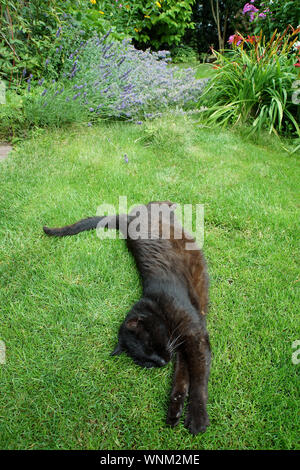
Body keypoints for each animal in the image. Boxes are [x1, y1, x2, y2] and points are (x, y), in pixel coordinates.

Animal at [42, 200, 211, 436]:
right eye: (144, 361)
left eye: (152, 345)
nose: (161, 362)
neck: (157, 305)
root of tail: (127, 221)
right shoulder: (181, 346)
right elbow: (181, 376)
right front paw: (174, 411)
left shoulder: (195, 336)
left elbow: (198, 378)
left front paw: (197, 418)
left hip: (153, 210)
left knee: (154, 202)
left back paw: (172, 204)